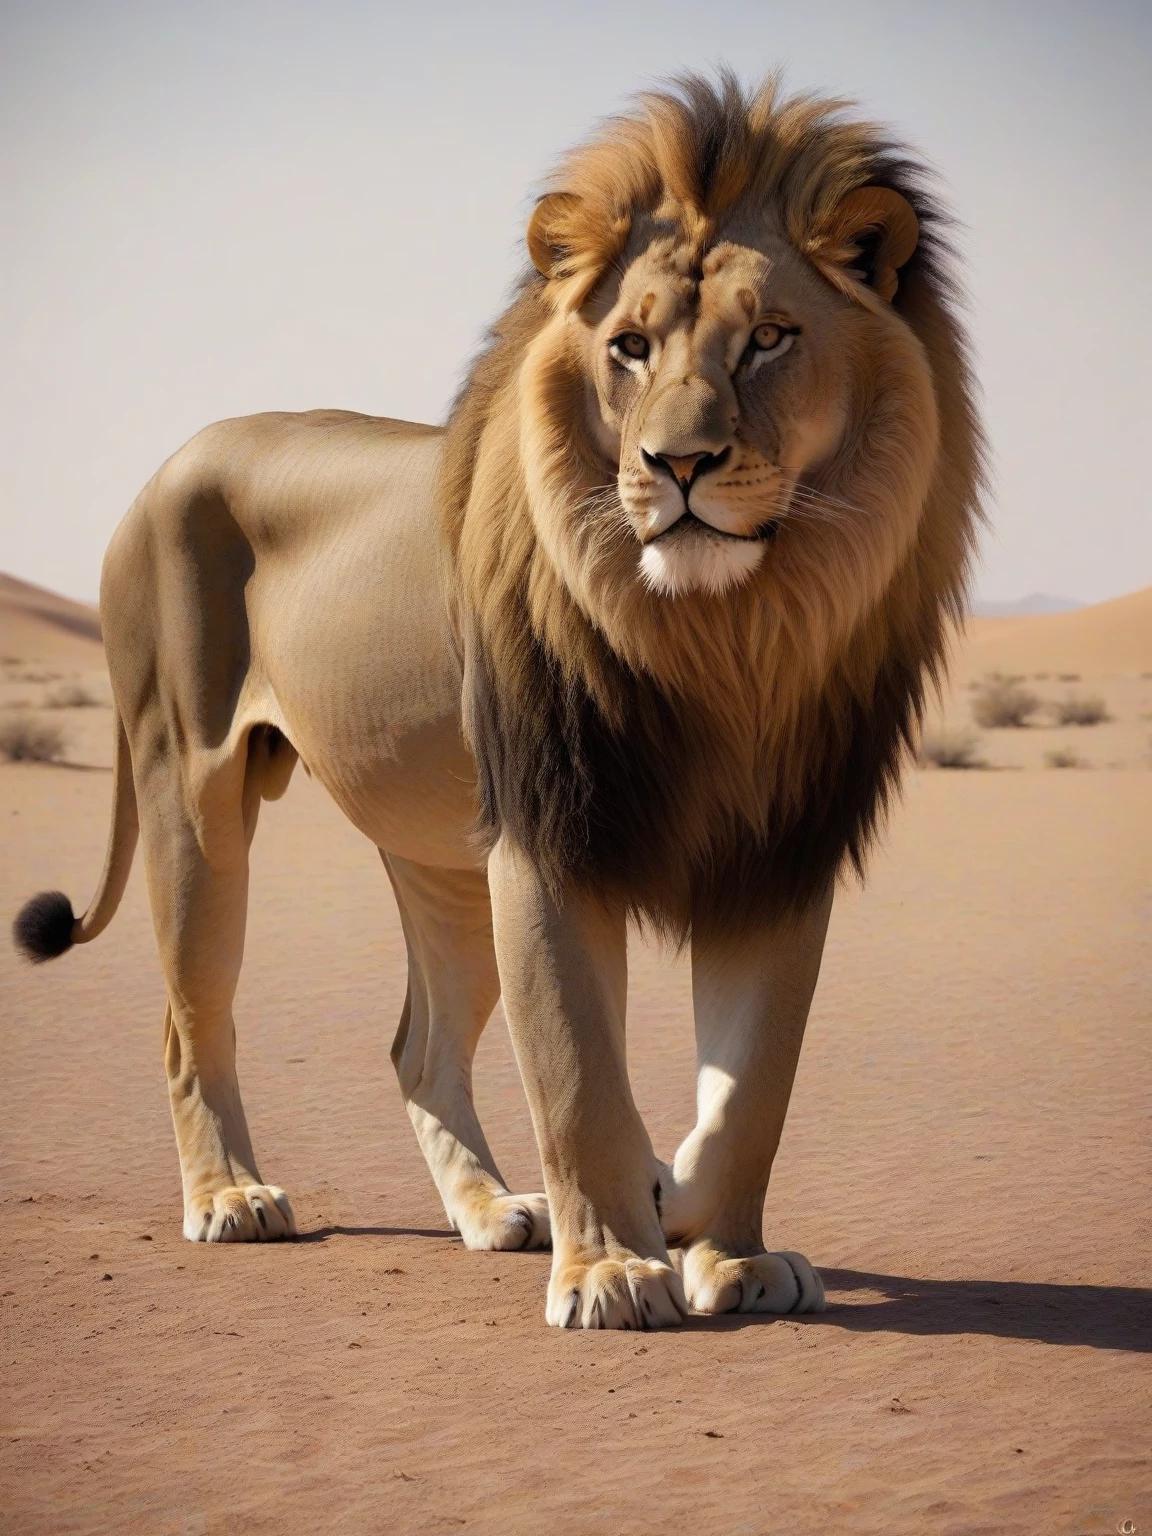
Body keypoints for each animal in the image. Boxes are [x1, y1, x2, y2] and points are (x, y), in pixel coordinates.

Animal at [13, 72, 982, 1329]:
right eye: (629, 347)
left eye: (770, 338)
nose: (677, 466)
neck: (724, 637)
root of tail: (166, 464)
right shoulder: (551, 834)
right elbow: (578, 1073)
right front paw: (615, 1268)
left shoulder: (777, 851)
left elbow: (748, 1090)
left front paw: (720, 1245)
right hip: (192, 794)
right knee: (189, 1021)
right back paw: (231, 1198)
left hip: (440, 861)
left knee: (418, 1047)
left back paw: (491, 1212)